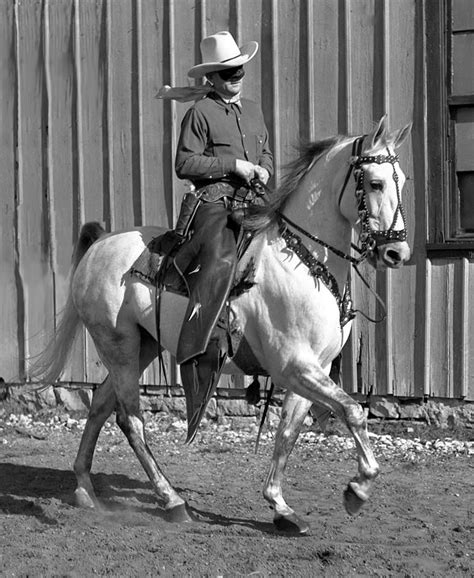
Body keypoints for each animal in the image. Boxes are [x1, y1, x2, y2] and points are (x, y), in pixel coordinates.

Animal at [32, 116, 412, 532]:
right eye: (375, 183)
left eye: (402, 180)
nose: (397, 252)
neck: (299, 261)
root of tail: (101, 243)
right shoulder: (295, 365)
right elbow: (353, 411)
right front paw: (358, 488)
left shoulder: (316, 368)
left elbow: (288, 432)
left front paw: (280, 507)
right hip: (119, 347)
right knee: (130, 419)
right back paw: (171, 500)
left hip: (142, 346)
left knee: (100, 404)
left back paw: (85, 487)